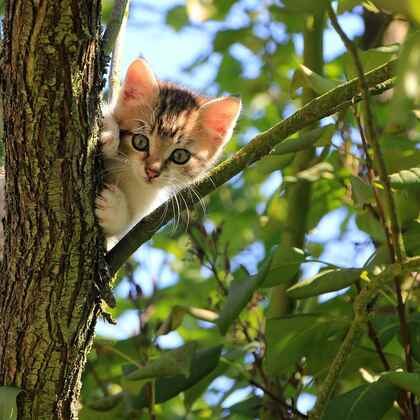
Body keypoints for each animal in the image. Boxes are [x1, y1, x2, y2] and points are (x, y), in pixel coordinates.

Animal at [95, 59, 240, 243]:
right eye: (140, 142)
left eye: (180, 155)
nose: (151, 171)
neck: (129, 176)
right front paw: (109, 133)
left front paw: (113, 209)